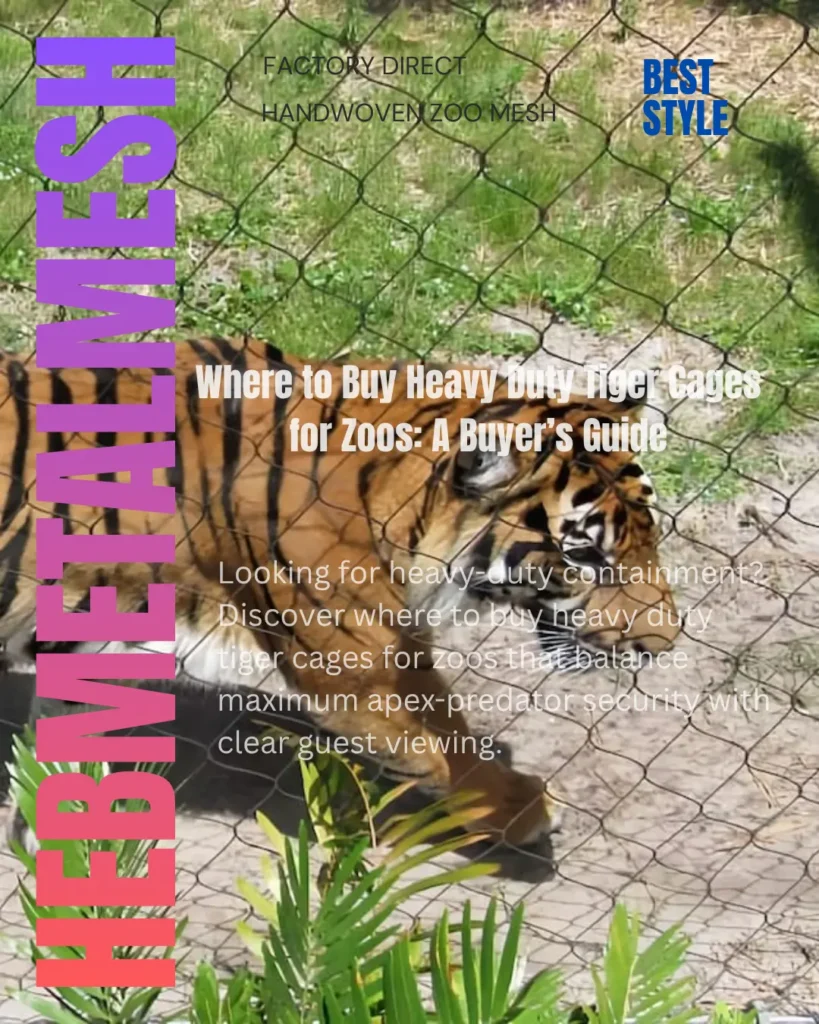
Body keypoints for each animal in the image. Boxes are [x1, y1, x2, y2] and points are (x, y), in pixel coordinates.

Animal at [0, 336, 679, 851]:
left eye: (650, 534)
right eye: (586, 554)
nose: (663, 643)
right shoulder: (353, 665)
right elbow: (439, 747)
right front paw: (512, 806)